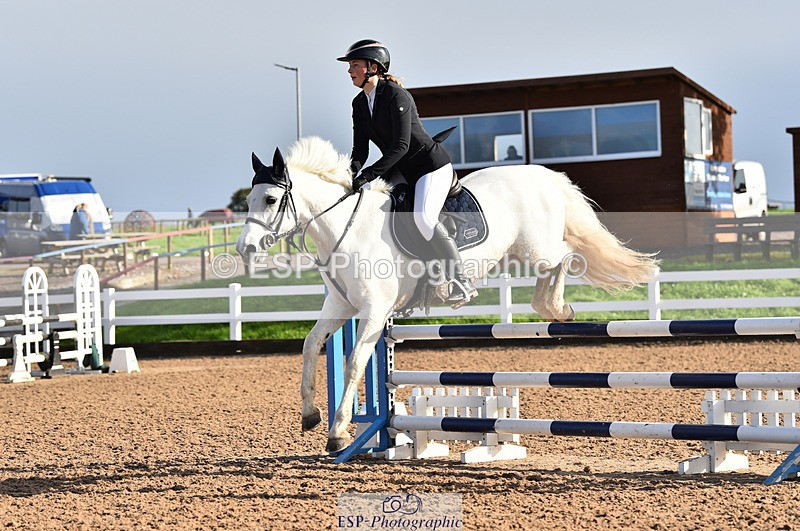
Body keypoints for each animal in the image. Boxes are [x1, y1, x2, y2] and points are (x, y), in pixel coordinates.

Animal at [236, 136, 660, 454]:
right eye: (248, 201)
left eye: (270, 200)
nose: (245, 249)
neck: (347, 228)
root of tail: (544, 176)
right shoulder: (342, 304)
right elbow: (310, 345)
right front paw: (310, 415)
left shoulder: (375, 310)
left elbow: (355, 362)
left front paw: (338, 433)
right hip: (521, 252)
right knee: (557, 265)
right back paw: (553, 308)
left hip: (537, 248)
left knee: (568, 256)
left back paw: (557, 307)